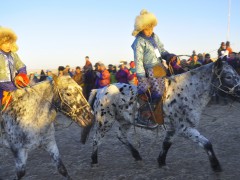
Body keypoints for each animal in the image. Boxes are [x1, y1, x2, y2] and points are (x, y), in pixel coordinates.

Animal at [81, 57, 240, 172]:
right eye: (228, 76)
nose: (239, 92)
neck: (188, 91)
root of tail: (100, 90)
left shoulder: (174, 128)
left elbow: (166, 144)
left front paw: (161, 162)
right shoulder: (185, 128)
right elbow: (207, 143)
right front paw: (216, 166)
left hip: (124, 121)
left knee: (121, 136)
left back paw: (137, 156)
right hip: (105, 121)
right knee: (96, 139)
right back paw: (94, 161)